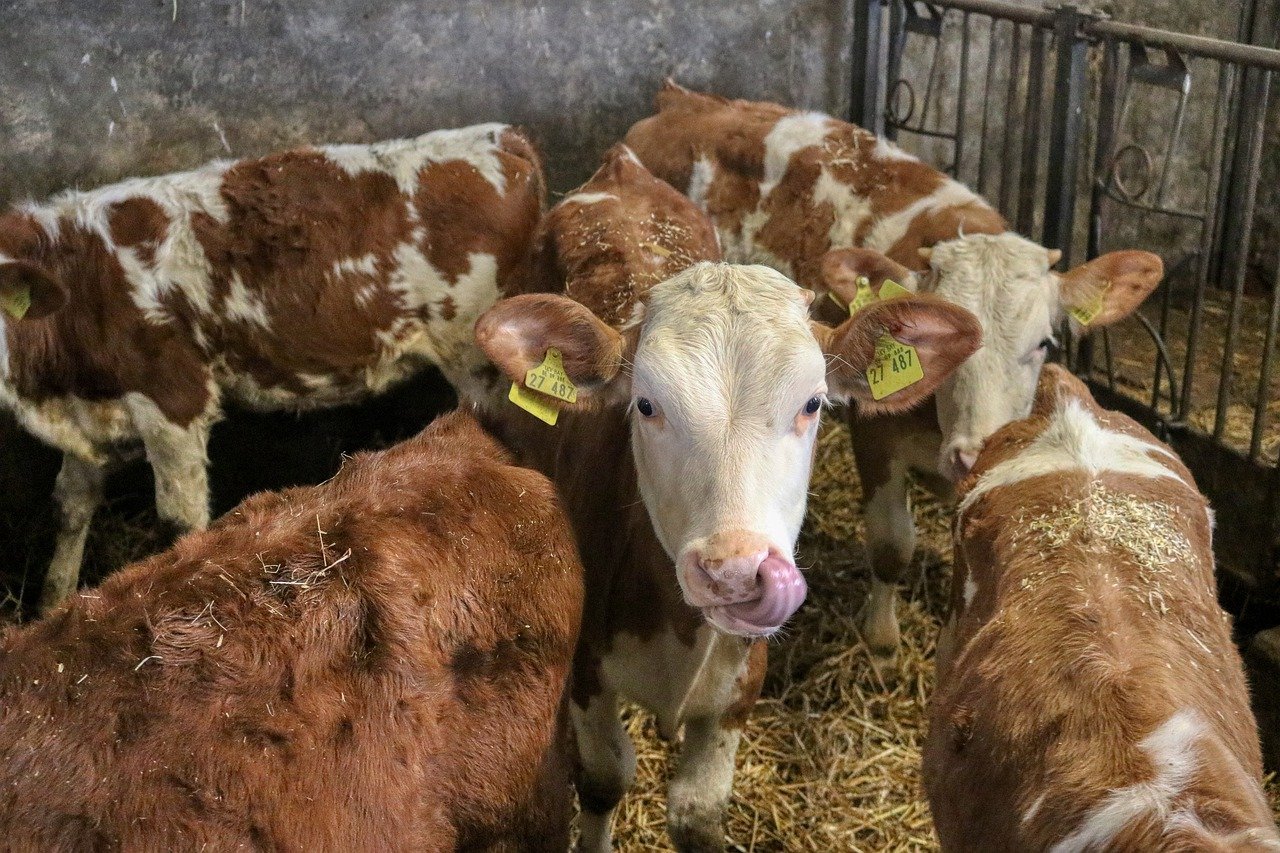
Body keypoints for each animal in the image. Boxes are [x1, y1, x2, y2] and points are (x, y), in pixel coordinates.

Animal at [0, 121, 542, 612]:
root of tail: (500, 137)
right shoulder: (93, 415)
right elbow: (69, 505)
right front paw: (51, 610)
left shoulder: (175, 403)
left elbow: (179, 527)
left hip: (475, 358)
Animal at [471, 142, 977, 845]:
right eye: (645, 405)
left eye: (813, 404)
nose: (735, 570)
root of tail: (619, 166)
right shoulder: (584, 671)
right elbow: (602, 780)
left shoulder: (740, 687)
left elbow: (697, 811)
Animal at [624, 79, 1167, 660]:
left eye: (1043, 343)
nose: (975, 451)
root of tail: (684, 98)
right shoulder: (873, 433)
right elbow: (892, 544)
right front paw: (882, 637)